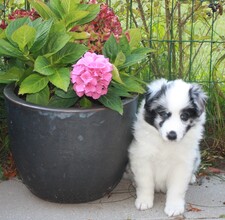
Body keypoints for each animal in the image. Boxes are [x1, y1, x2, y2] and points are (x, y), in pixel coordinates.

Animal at [128, 78, 207, 217]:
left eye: (184, 116)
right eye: (163, 114)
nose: (172, 135)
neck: (166, 144)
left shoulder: (182, 164)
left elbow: (176, 188)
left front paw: (174, 206)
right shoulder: (142, 157)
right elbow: (145, 182)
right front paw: (144, 201)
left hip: (197, 157)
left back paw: (192, 177)